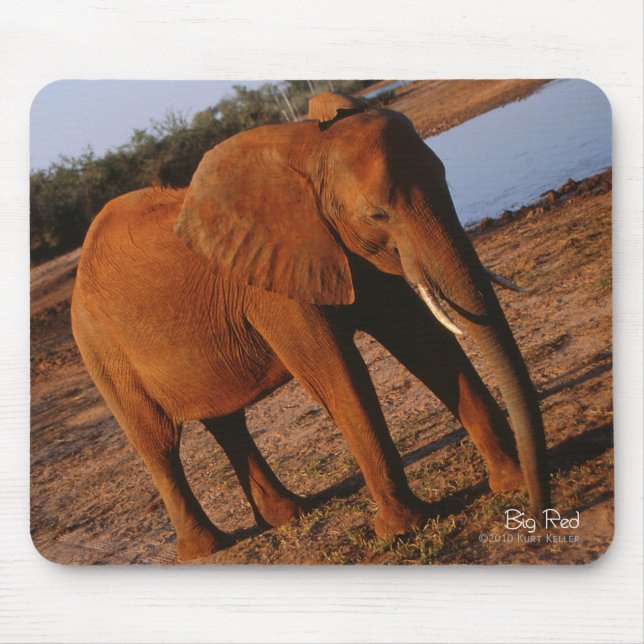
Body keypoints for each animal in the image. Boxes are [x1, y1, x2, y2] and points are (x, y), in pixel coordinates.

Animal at [71, 92, 550, 561]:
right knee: (159, 444)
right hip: (101, 351)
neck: (308, 150)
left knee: (228, 423)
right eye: (377, 214)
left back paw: (289, 513)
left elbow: (422, 340)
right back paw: (206, 548)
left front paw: (507, 481)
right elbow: (336, 374)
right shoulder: (271, 283)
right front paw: (401, 528)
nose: (535, 521)